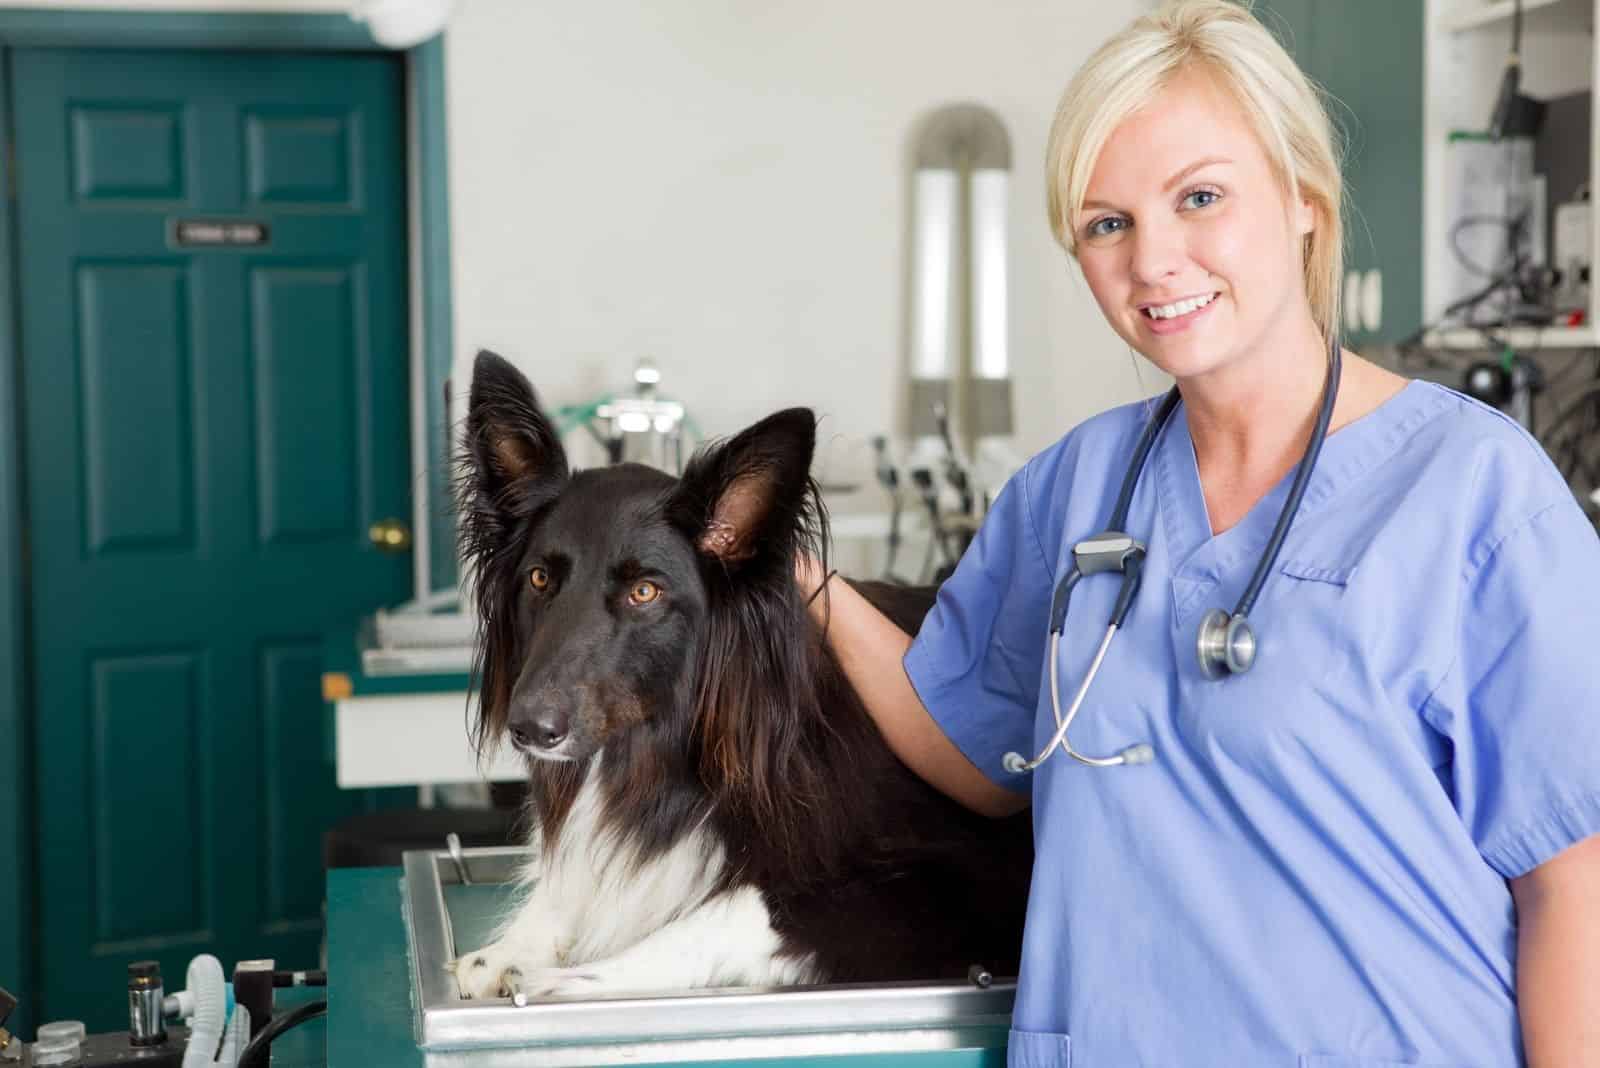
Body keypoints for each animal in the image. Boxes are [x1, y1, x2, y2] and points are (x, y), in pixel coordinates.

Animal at [448, 350, 1036, 1004]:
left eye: (644, 591)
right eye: (539, 579)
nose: (529, 729)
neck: (665, 762)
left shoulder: (960, 882)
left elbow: (737, 908)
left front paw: (564, 978)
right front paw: (516, 945)